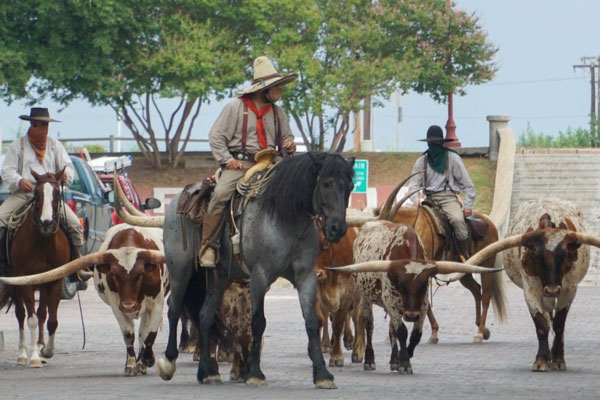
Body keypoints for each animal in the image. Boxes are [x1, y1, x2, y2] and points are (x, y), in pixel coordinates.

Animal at [0, 167, 71, 368]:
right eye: (37, 194)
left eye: (57, 193)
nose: (46, 223)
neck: (43, 242)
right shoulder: (25, 281)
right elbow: (30, 319)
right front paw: (33, 357)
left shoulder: (55, 281)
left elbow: (51, 319)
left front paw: (46, 350)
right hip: (15, 282)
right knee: (21, 314)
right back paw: (22, 354)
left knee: (41, 313)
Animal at [118, 152, 354, 390]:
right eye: (326, 183)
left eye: (351, 186)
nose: (337, 228)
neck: (283, 217)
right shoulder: (260, 276)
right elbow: (258, 322)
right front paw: (255, 374)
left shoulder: (305, 276)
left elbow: (312, 321)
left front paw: (322, 374)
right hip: (181, 270)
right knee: (174, 308)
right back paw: (168, 363)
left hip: (218, 277)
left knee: (204, 315)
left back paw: (208, 372)